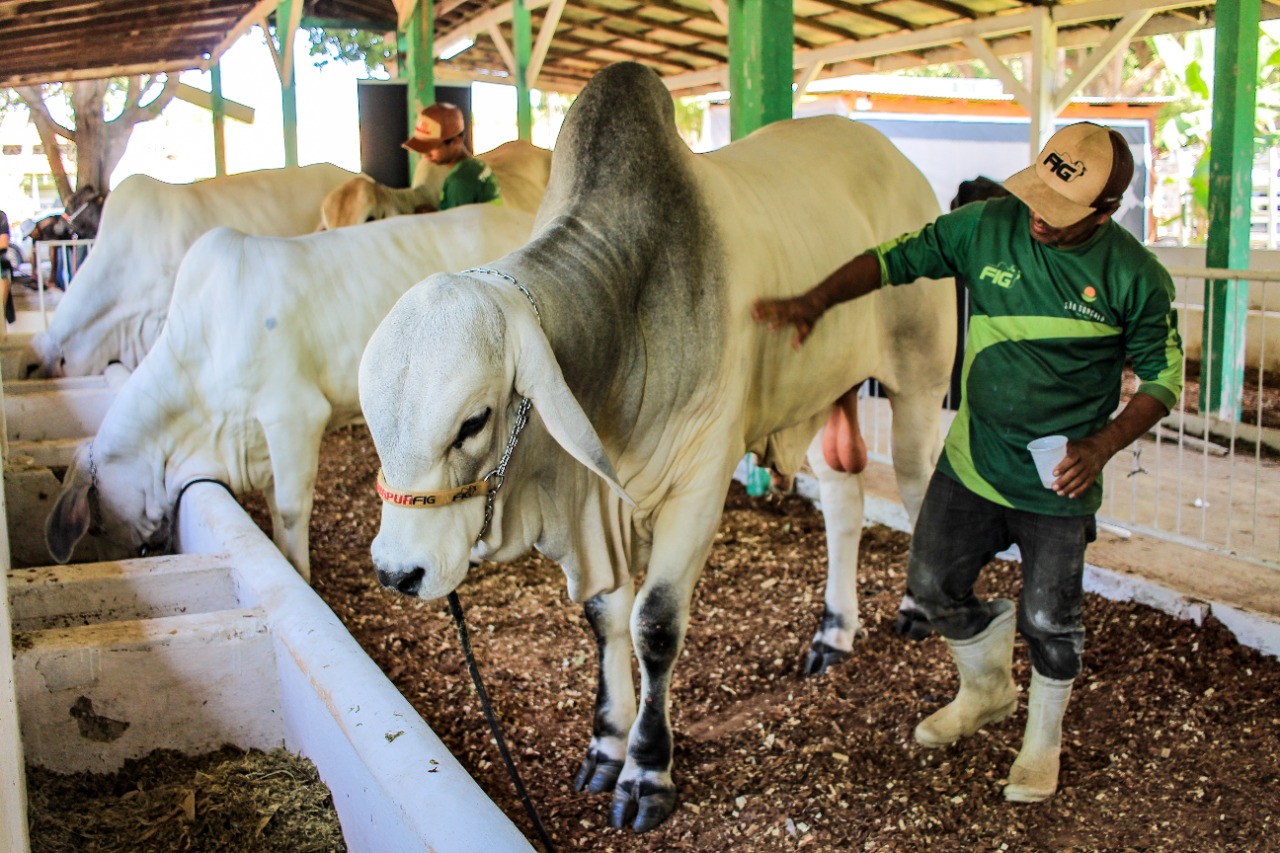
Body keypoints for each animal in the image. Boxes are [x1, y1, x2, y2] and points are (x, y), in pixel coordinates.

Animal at [355, 61, 957, 829]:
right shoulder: (600, 510)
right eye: (377, 422)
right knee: (846, 508)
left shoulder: (700, 484)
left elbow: (656, 624)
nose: (397, 573)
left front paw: (647, 771)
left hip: (918, 383)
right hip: (825, 394)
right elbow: (604, 614)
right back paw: (833, 633)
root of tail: (898, 162)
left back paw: (918, 611)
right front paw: (606, 745)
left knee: (916, 482)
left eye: (473, 421)